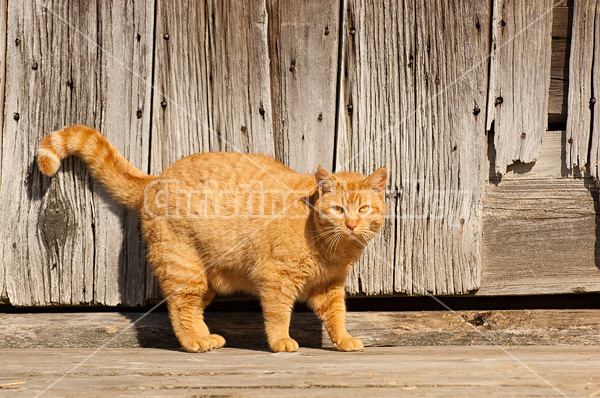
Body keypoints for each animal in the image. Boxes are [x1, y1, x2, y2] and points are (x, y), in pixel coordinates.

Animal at [37, 124, 386, 352]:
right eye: (339, 209)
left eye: (364, 208)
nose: (352, 224)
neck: (332, 249)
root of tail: (157, 178)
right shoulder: (275, 280)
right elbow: (277, 315)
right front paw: (280, 342)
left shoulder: (329, 287)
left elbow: (337, 316)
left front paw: (344, 340)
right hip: (184, 268)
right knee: (180, 307)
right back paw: (194, 342)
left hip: (205, 277)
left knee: (193, 310)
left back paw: (207, 337)